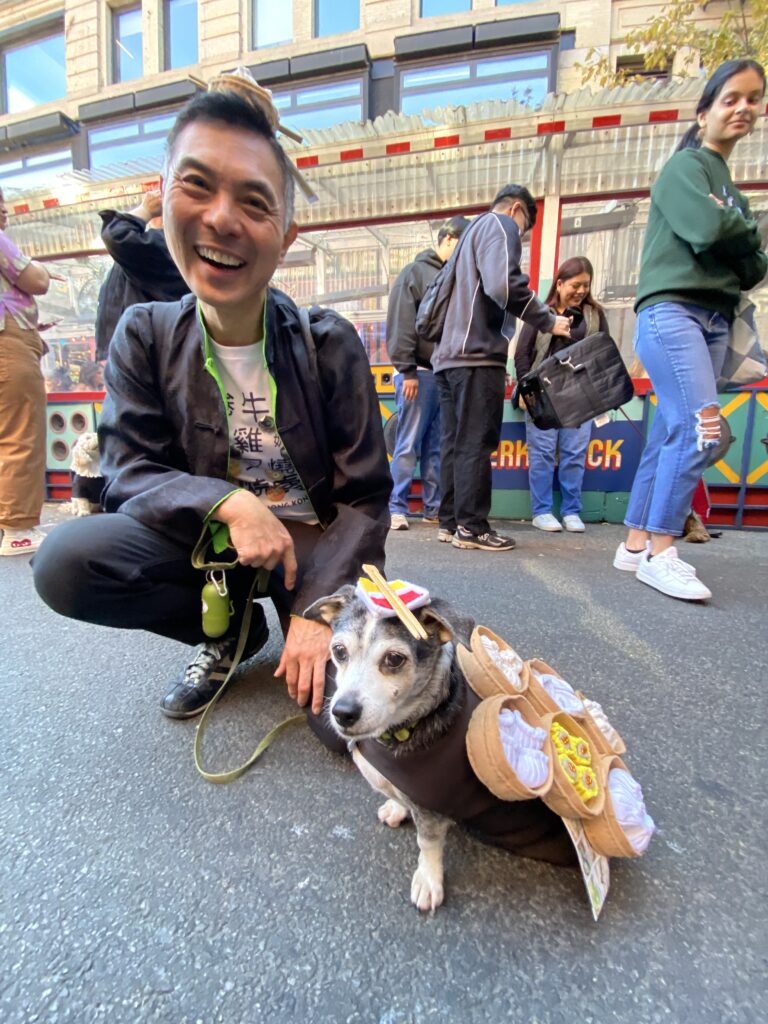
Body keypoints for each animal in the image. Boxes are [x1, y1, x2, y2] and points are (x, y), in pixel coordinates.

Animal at [303, 589, 475, 917]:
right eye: (339, 651)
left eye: (394, 659)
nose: (343, 713)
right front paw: (396, 808)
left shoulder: (433, 806)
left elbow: (428, 842)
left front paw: (428, 880)